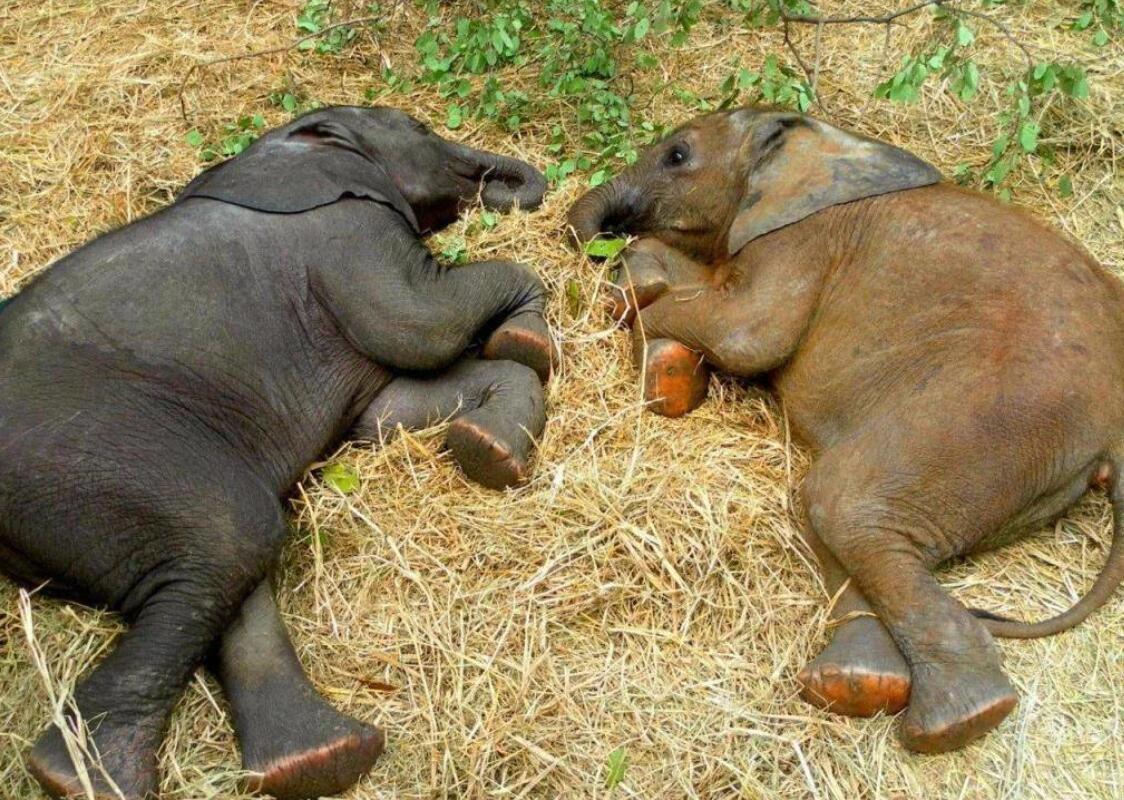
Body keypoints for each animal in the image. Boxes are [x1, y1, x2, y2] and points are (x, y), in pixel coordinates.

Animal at [0, 105, 554, 799]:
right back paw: (83, 779)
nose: (502, 182)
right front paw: (531, 339)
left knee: (211, 568)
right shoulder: (345, 234)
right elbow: (420, 325)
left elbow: (387, 409)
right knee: (235, 531)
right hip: (84, 451)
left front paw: (486, 447)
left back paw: (318, 761)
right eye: (419, 127)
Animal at [567, 107, 1124, 753]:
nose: (602, 236)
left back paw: (956, 723)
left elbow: (748, 333)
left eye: (678, 156)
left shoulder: (803, 240)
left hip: (1001, 414)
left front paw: (630, 307)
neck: (814, 139)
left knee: (840, 498)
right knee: (837, 515)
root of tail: (1114, 435)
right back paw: (857, 685)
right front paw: (661, 346)